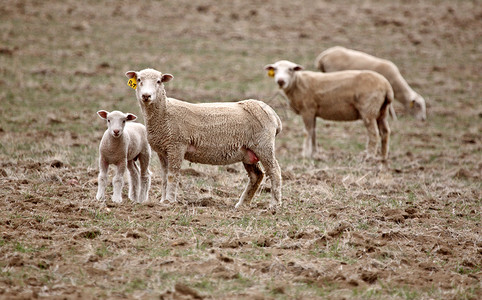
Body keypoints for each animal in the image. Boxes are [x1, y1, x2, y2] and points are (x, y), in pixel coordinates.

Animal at [124, 68, 284, 209]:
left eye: (158, 81)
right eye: (139, 80)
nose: (146, 96)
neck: (165, 113)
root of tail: (274, 116)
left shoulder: (177, 145)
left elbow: (172, 175)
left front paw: (170, 201)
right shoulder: (163, 150)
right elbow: (164, 176)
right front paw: (163, 200)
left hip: (263, 145)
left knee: (274, 171)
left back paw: (274, 204)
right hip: (248, 152)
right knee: (256, 176)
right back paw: (242, 204)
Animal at [266, 59, 394, 161]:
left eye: (291, 69)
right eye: (275, 69)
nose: (280, 81)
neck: (297, 83)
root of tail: (387, 86)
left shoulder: (308, 110)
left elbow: (307, 132)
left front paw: (305, 154)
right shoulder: (313, 112)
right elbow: (313, 132)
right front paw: (314, 154)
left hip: (368, 110)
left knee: (373, 133)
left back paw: (369, 156)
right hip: (382, 111)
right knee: (385, 132)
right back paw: (383, 157)